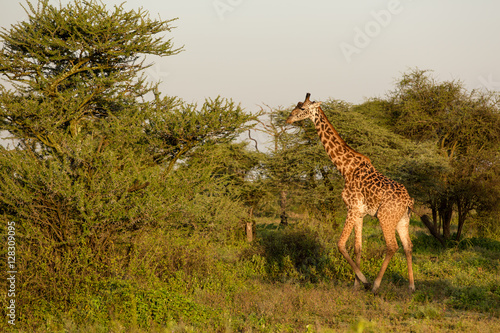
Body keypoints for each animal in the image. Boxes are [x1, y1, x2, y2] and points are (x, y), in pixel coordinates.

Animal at [286, 92, 414, 290]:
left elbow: (340, 244)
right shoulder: (359, 213)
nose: (288, 118)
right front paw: (355, 285)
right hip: (402, 220)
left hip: (385, 217)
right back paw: (411, 287)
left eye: (302, 108)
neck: (345, 168)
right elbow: (357, 247)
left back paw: (375, 284)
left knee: (392, 246)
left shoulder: (351, 208)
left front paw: (363, 280)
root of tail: (408, 201)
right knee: (408, 246)